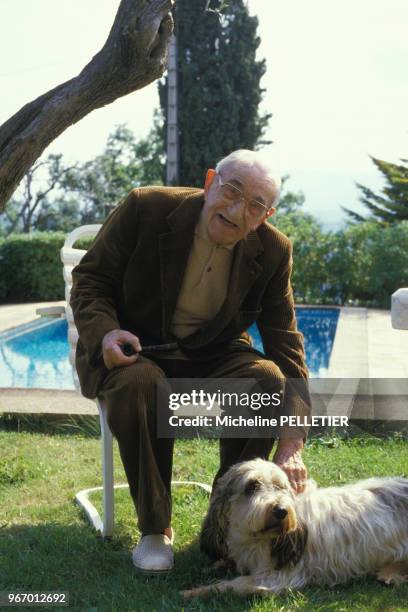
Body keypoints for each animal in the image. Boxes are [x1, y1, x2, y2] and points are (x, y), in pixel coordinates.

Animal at [183, 460, 408, 596]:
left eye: (280, 486)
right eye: (252, 486)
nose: (281, 510)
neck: (257, 538)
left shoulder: (277, 577)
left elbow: (234, 584)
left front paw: (195, 591)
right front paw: (216, 565)